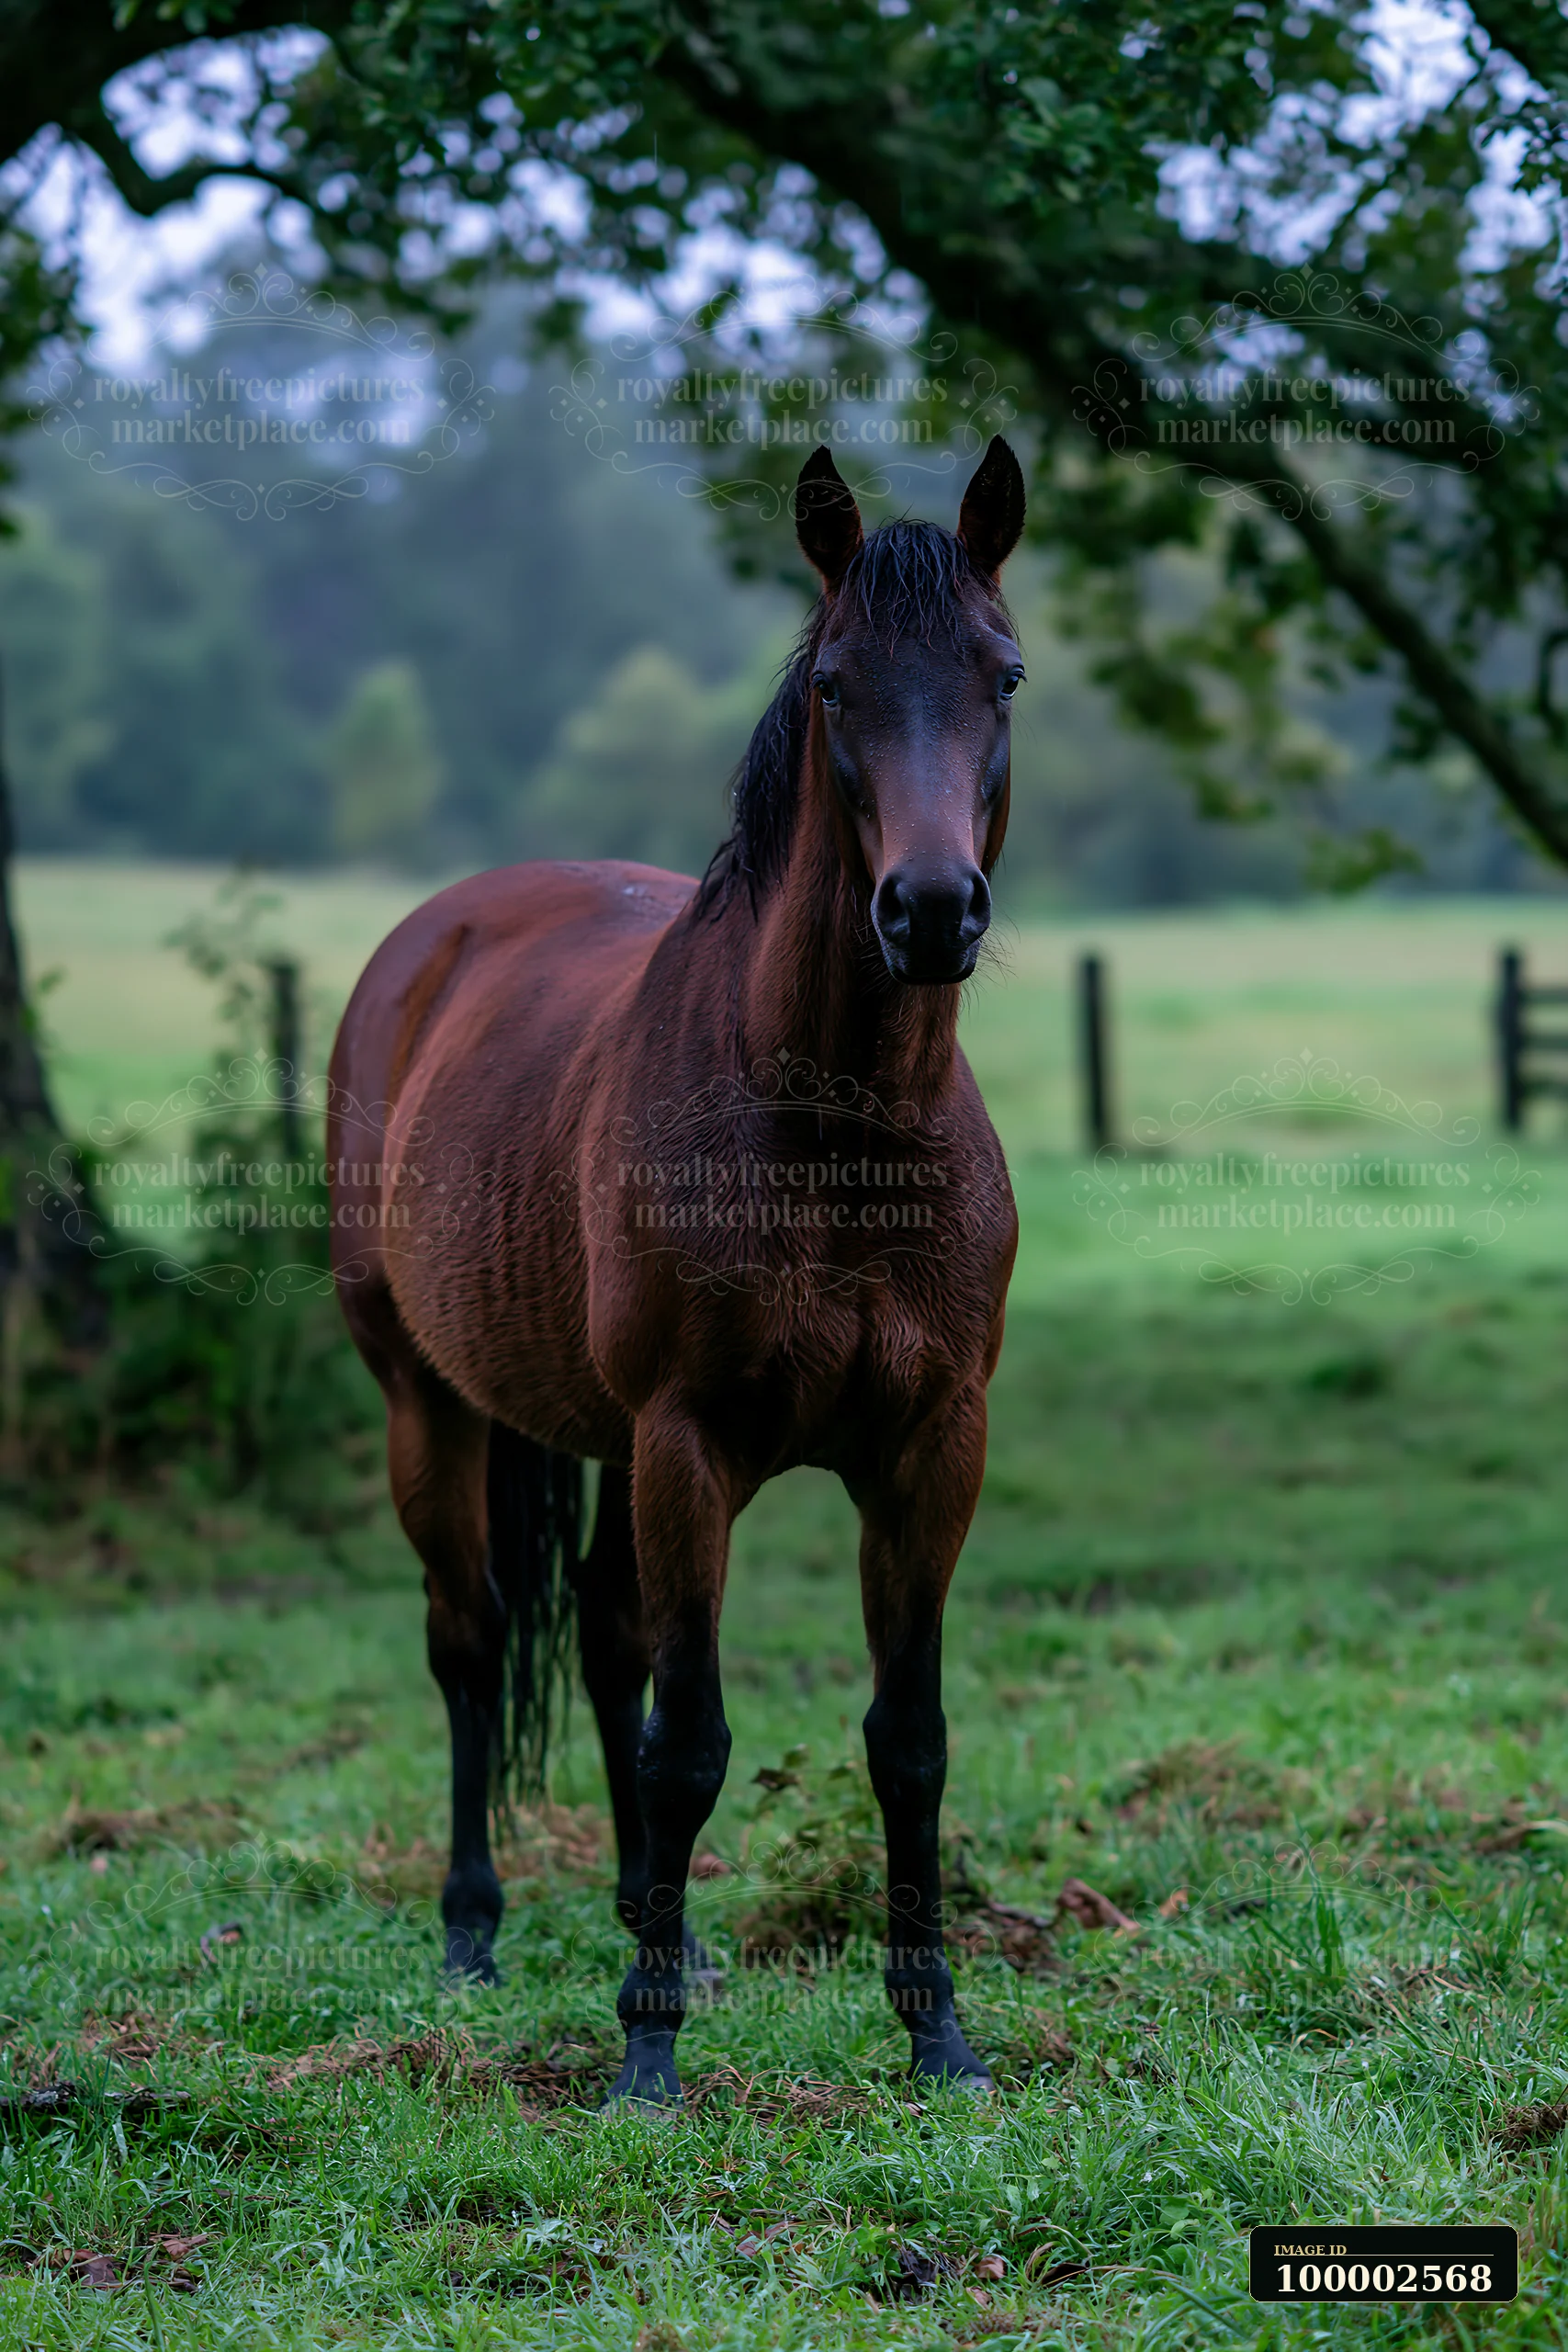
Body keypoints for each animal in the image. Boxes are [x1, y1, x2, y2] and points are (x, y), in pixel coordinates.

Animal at [327, 436, 1027, 2104]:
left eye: (1005, 678)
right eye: (833, 685)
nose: (929, 910)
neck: (836, 1134)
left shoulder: (932, 1449)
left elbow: (906, 1739)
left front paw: (939, 2036)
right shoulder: (687, 1444)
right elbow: (690, 1736)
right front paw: (644, 2056)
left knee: (598, 1639)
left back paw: (667, 1927)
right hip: (430, 1408)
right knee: (472, 1644)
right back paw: (473, 1934)